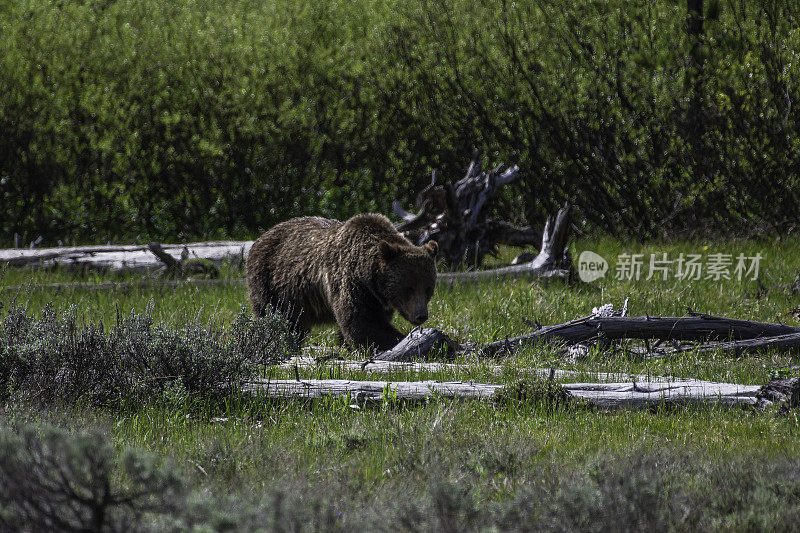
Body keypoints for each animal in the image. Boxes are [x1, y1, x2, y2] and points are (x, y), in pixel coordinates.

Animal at [248, 214, 440, 352]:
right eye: (408, 288)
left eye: (428, 288)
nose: (421, 315)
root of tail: (259, 238)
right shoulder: (350, 281)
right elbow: (363, 324)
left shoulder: (377, 299)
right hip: (273, 284)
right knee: (278, 319)